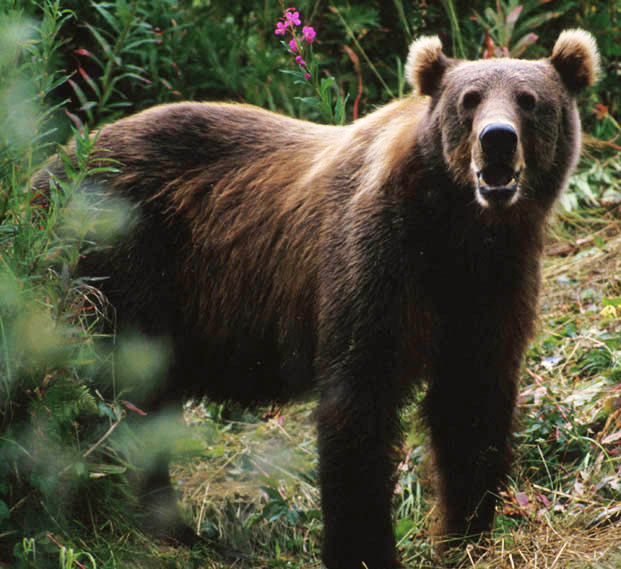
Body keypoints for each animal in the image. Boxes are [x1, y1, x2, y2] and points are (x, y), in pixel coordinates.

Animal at [31, 30, 600, 568]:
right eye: (470, 99)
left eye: (529, 100)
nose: (497, 139)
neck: (457, 230)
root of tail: (48, 169)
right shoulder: (376, 262)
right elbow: (359, 403)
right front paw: (366, 548)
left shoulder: (491, 286)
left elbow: (471, 402)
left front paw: (466, 534)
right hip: (116, 265)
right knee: (107, 394)